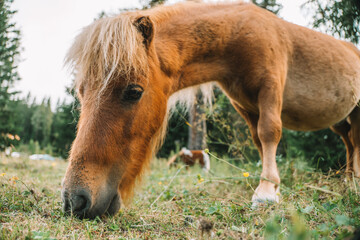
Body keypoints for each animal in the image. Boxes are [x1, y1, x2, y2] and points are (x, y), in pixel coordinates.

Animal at [62, 0, 360, 219]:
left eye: (134, 92)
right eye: (81, 92)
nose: (75, 200)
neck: (239, 34)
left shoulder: (271, 88)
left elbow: (269, 133)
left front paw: (266, 192)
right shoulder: (246, 106)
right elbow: (259, 140)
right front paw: (271, 188)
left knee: (355, 141)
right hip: (339, 121)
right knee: (348, 143)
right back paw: (348, 181)